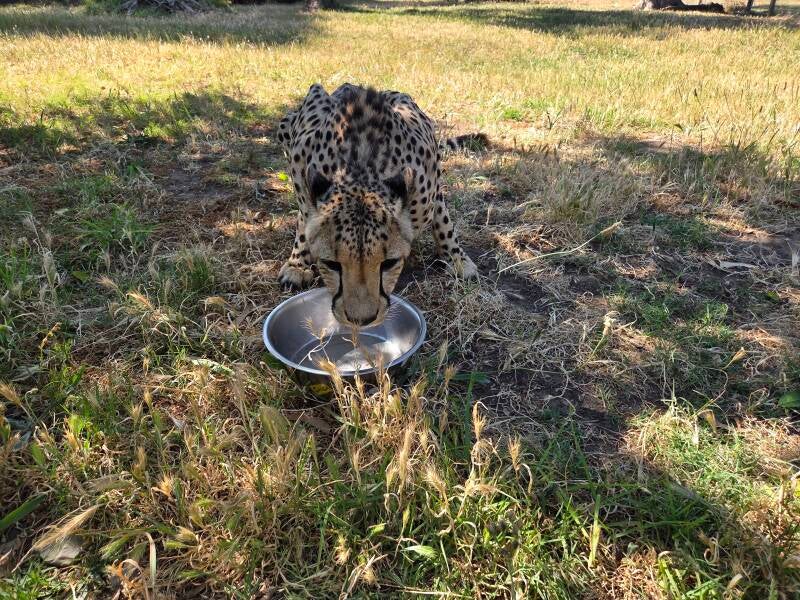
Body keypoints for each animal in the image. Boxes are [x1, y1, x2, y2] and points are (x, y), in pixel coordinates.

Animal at [275, 82, 484, 328]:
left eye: (389, 263)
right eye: (331, 264)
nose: (361, 320)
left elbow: (443, 219)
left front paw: (457, 257)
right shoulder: (301, 156)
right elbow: (304, 218)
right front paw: (297, 264)